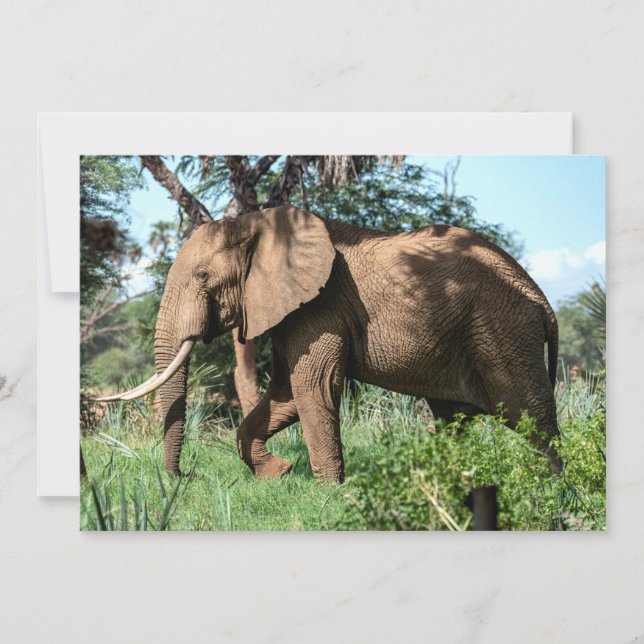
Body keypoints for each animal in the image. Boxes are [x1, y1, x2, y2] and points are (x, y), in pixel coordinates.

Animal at [99, 205, 562, 482]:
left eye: (202, 277)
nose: (188, 477)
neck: (259, 222)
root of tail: (542, 299)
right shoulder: (294, 310)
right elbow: (285, 394)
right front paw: (279, 473)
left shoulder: (321, 306)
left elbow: (313, 387)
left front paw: (331, 494)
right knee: (455, 418)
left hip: (503, 330)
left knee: (530, 415)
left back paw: (552, 492)